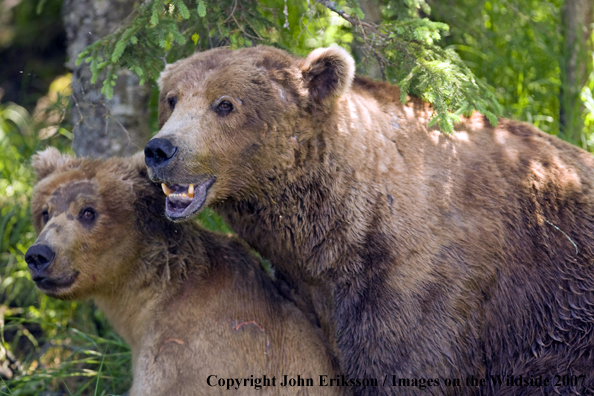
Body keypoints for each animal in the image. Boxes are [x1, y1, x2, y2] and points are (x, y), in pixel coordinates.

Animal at [143, 44, 592, 394]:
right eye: (173, 98)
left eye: (225, 103)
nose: (160, 149)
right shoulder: (312, 296)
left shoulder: (427, 286)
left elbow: (409, 366)